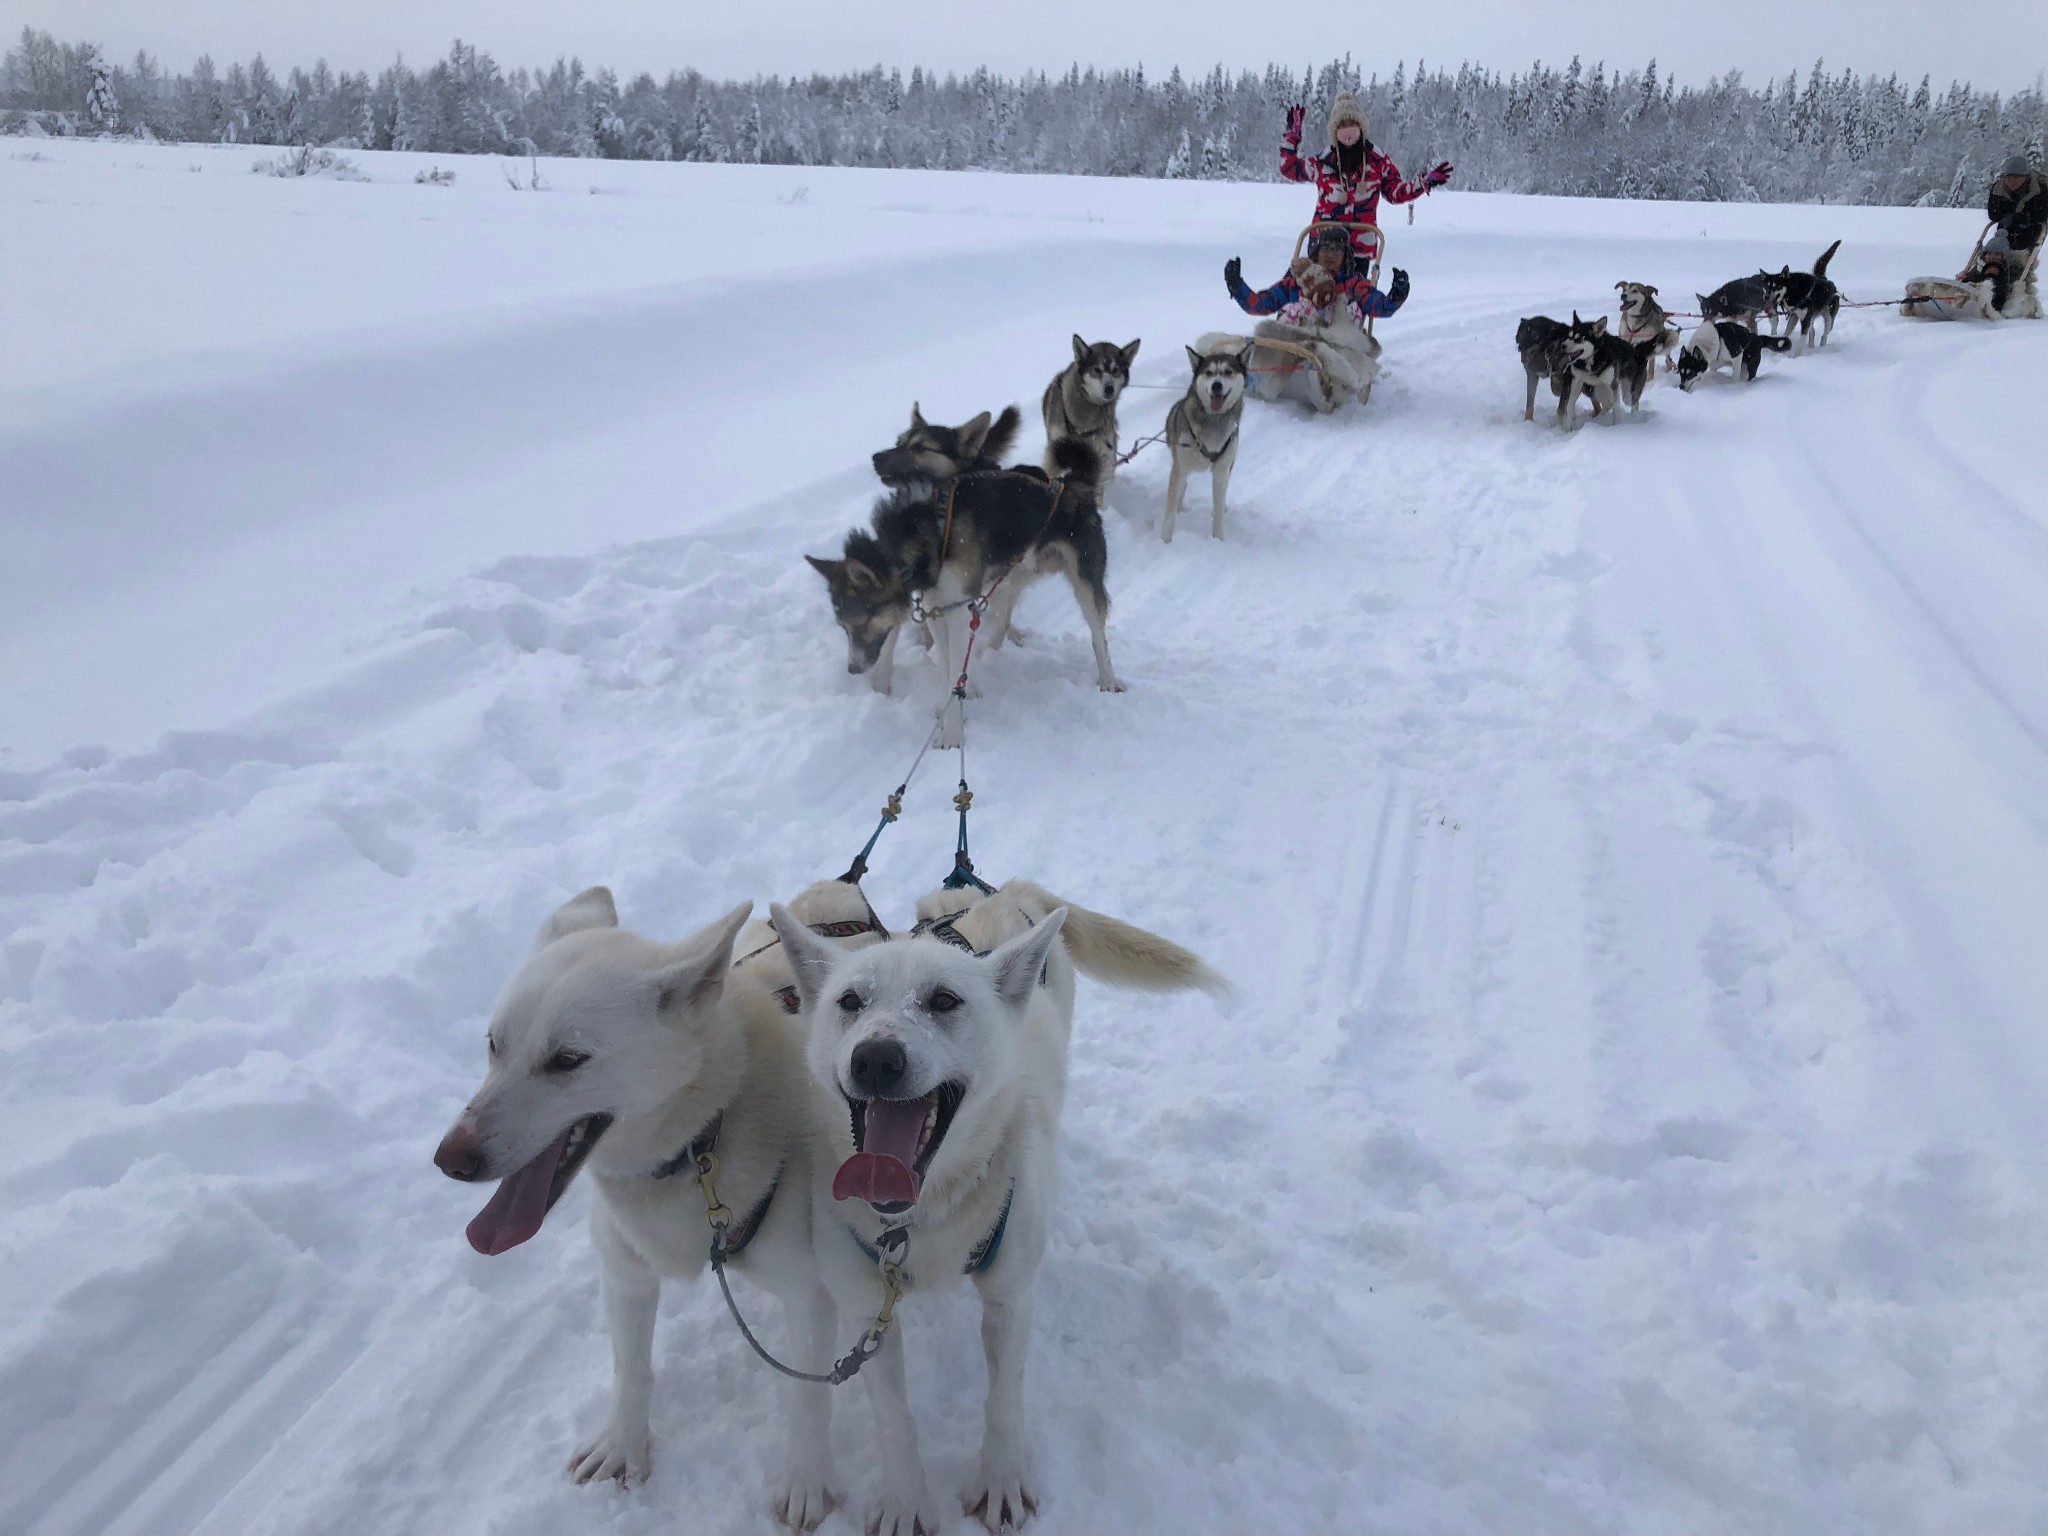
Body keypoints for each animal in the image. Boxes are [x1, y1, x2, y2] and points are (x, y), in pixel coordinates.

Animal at [428, 884, 884, 1531]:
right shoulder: (626, 1274)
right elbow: (631, 1370)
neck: (695, 1147)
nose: (450, 1158)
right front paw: (622, 1446)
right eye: (494, 1045)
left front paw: (806, 1480)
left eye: (567, 1059)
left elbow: (806, 1391)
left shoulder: (808, 1292)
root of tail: (836, 892)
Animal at [765, 884, 1212, 1531]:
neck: (923, 1216)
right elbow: (894, 1419)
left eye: (944, 1000)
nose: (875, 1058)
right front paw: (905, 1502)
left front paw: (1000, 1482)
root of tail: (1011, 891)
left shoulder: (1010, 1298)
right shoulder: (868, 1310)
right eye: (849, 1001)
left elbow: (1004, 1400)